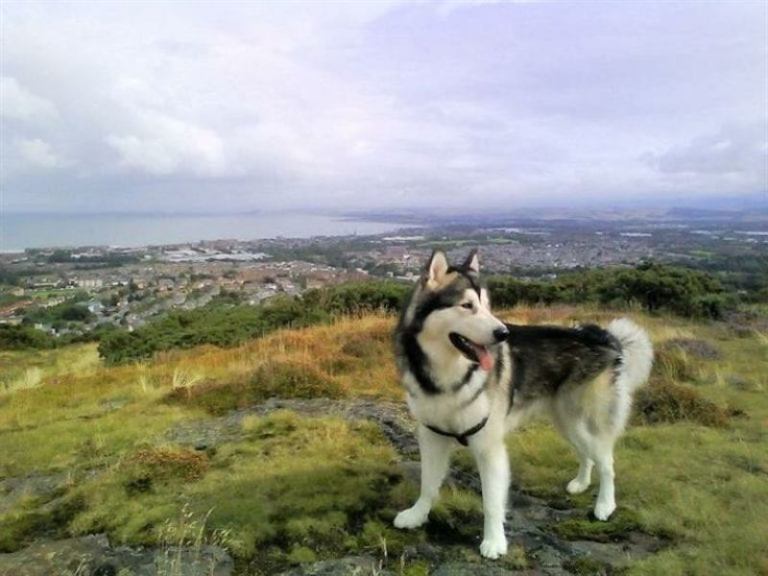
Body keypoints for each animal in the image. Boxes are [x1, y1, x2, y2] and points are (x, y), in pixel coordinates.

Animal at [392, 251, 652, 560]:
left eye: (487, 305)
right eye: (467, 306)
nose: (502, 332)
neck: (446, 375)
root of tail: (603, 337)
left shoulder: (488, 445)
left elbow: (492, 502)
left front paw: (494, 542)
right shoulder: (432, 435)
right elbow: (428, 484)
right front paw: (417, 515)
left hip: (589, 417)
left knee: (607, 461)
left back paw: (605, 505)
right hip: (567, 422)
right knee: (586, 453)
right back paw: (580, 483)